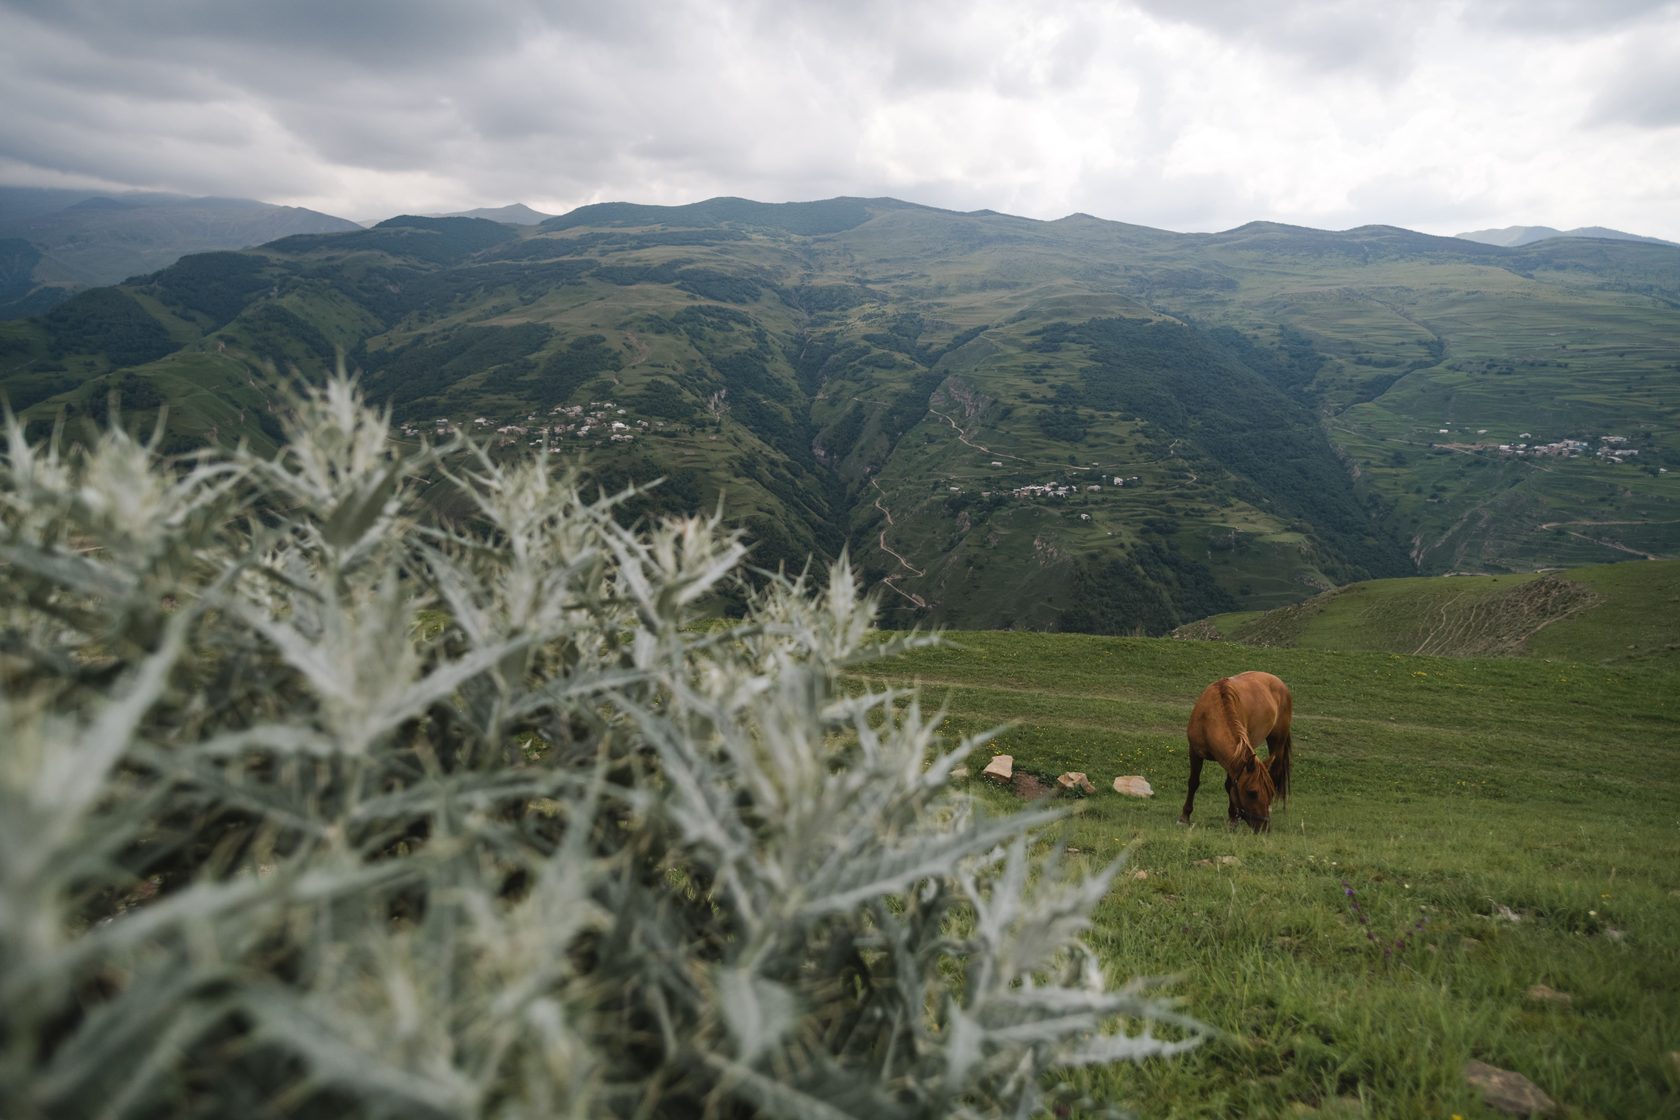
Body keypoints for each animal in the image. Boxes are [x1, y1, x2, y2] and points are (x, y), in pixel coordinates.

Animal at [1176, 664, 1290, 832]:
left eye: (1269, 793)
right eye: (1252, 793)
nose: (1264, 827)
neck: (1210, 717)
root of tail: (1278, 682)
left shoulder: (1234, 759)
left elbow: (1230, 785)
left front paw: (1232, 818)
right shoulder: (1195, 752)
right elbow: (1193, 782)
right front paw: (1184, 816)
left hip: (1277, 740)